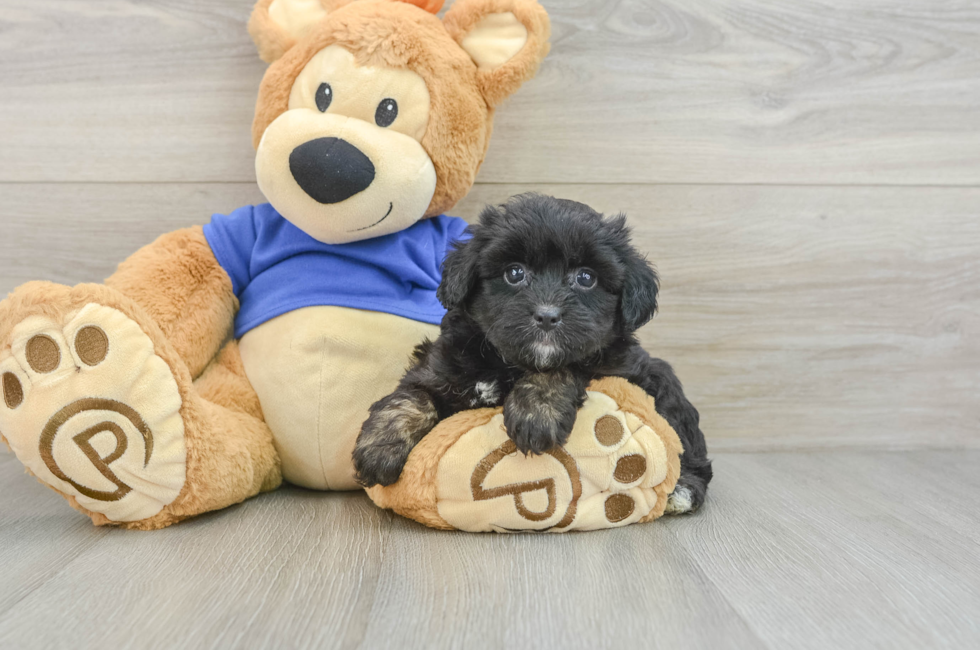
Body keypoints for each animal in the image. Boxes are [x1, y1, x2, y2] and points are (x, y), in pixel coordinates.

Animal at [352, 192, 712, 512]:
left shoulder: (616, 366)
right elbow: (412, 395)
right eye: (514, 272)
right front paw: (378, 447)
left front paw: (536, 414)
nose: (547, 316)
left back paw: (683, 490)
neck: (506, 362)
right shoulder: (441, 365)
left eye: (586, 277)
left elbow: (565, 366)